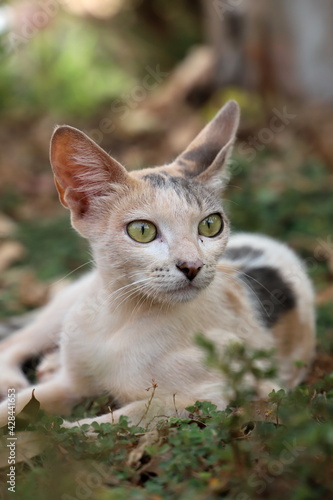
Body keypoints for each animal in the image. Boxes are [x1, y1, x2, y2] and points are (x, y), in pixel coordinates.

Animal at [0, 100, 314, 426]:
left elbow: (95, 426)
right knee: (15, 340)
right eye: (142, 231)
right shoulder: (71, 383)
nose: (192, 265)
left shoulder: (213, 394)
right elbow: (20, 405)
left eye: (210, 225)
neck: (121, 321)